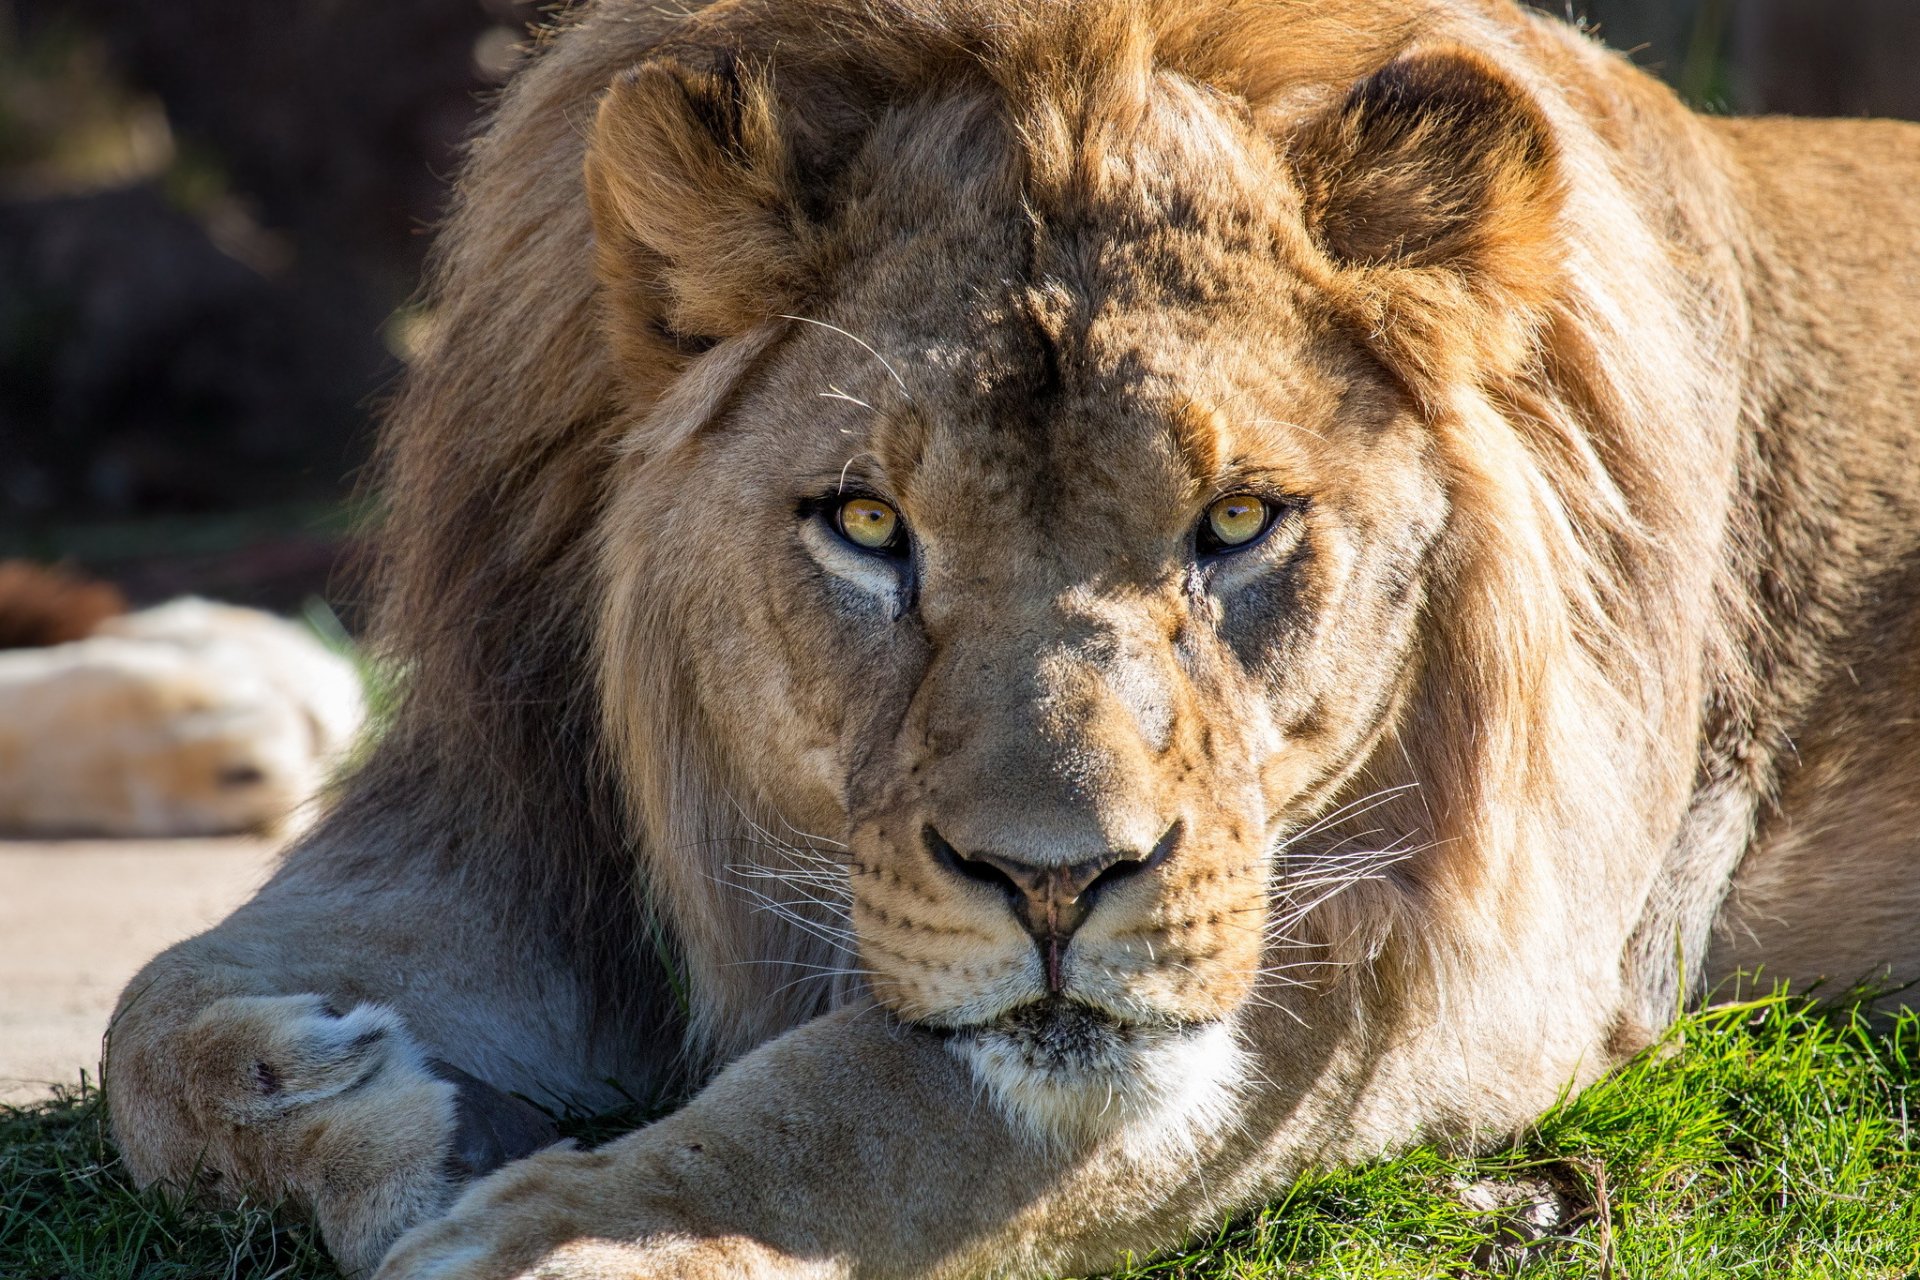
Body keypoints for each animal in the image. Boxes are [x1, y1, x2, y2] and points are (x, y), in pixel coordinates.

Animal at [101, 0, 1920, 1274]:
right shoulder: (519, 803)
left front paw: (564, 1236)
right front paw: (396, 1117)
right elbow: (148, 1021)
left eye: (1238, 523)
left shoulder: (1449, 950)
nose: (1056, 884)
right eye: (866, 527)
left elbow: (868, 1109)